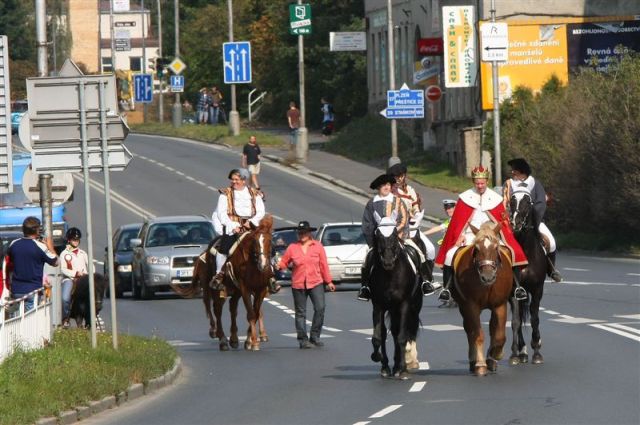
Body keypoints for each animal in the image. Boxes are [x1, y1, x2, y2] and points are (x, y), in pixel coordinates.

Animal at [171, 215, 272, 352]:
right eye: (255, 241)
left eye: (269, 240)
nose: (263, 264)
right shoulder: (245, 288)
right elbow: (251, 314)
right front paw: (254, 342)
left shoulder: (260, 290)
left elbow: (256, 313)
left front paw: (249, 340)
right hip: (215, 289)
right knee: (216, 309)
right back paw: (222, 339)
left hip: (234, 290)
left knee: (232, 308)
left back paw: (233, 339)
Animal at [368, 217, 422, 380]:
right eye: (378, 235)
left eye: (393, 235)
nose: (388, 261)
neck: (390, 275)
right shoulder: (378, 305)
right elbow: (378, 336)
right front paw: (380, 360)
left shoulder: (404, 304)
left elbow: (402, 336)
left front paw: (403, 369)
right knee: (391, 331)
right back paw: (391, 365)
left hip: (412, 307)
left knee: (402, 331)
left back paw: (400, 366)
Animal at [450, 220, 516, 376]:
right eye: (477, 248)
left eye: (496, 247)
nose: (488, 277)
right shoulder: (471, 305)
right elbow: (477, 334)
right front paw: (480, 364)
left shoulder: (500, 305)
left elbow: (499, 335)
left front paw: (495, 355)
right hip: (464, 307)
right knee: (469, 330)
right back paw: (474, 361)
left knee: (492, 329)